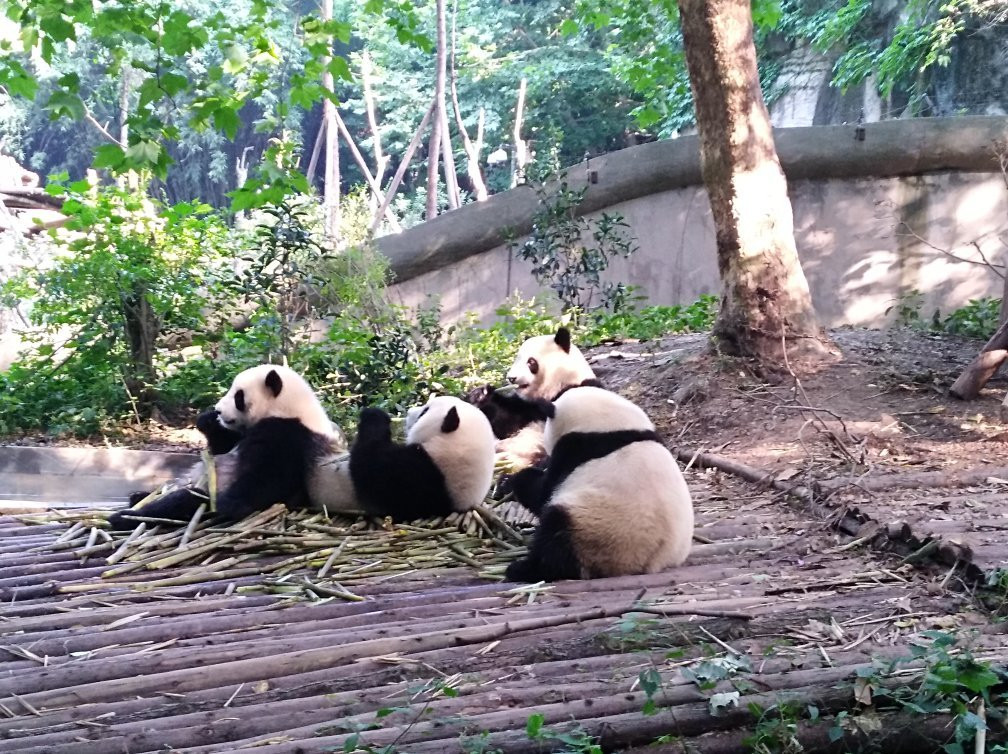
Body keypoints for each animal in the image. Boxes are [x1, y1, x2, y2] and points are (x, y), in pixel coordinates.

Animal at [109, 365, 349, 529]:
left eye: (238, 396)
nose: (218, 410)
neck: (289, 409)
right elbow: (220, 449)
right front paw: (207, 420)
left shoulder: (290, 435)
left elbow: (266, 481)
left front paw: (228, 504)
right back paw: (138, 496)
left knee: (185, 502)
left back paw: (123, 517)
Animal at [469, 327, 601, 468]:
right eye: (517, 359)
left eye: (531, 362)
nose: (511, 378)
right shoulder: (524, 406)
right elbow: (507, 425)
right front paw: (480, 395)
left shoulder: (582, 391)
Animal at [503, 386, 694, 582]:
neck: (609, 428)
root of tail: (651, 563)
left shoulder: (574, 450)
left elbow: (543, 494)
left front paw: (513, 481)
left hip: (597, 529)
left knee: (557, 536)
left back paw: (523, 569)